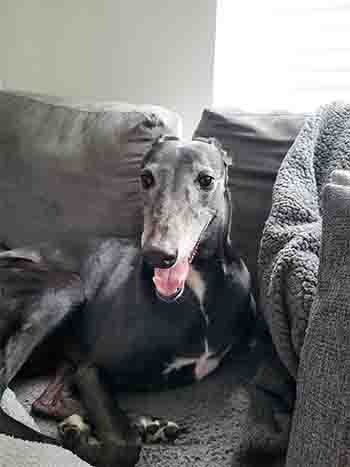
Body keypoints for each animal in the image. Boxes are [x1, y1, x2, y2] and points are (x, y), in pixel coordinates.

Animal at [0, 137, 254, 466]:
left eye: (206, 180)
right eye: (146, 178)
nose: (158, 255)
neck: (195, 289)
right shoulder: (91, 368)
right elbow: (124, 445)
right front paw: (80, 439)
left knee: (45, 400)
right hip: (64, 288)